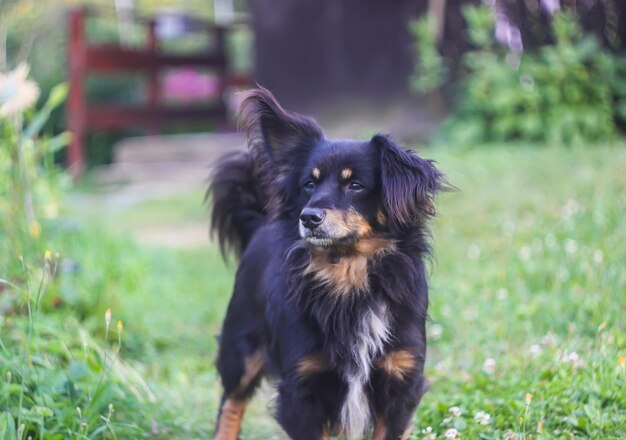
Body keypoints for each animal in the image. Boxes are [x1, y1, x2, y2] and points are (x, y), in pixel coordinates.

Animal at [207, 87, 446, 438]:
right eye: (309, 184)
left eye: (355, 185)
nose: (308, 217)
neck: (348, 276)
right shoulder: (302, 387)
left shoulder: (400, 379)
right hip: (241, 345)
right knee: (231, 401)